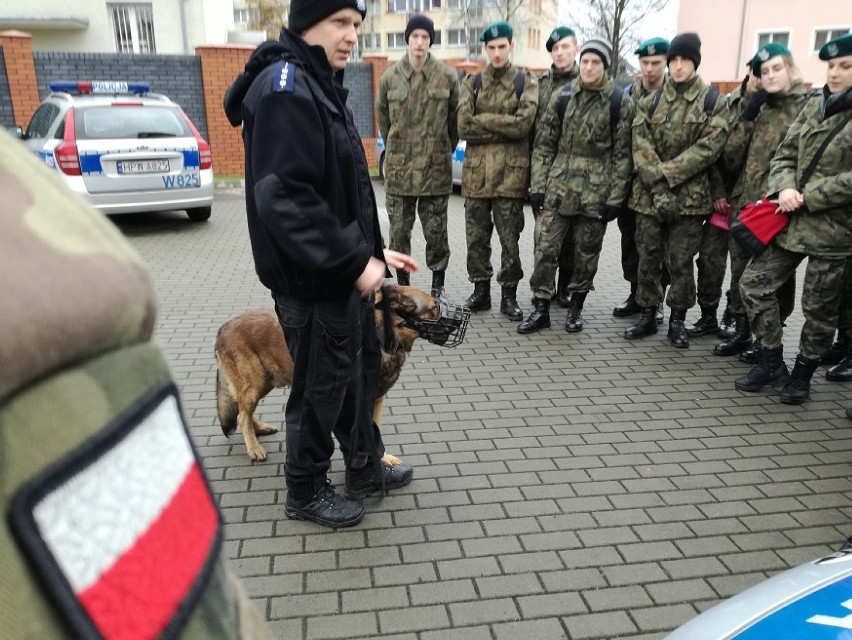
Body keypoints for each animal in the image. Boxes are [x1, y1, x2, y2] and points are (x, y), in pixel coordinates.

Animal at [213, 288, 442, 462]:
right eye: (434, 307)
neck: (379, 335)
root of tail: (222, 328)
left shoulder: (376, 400)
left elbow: (376, 431)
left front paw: (383, 459)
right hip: (255, 383)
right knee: (242, 415)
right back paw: (254, 448)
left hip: (263, 383)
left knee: (243, 410)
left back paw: (259, 428)